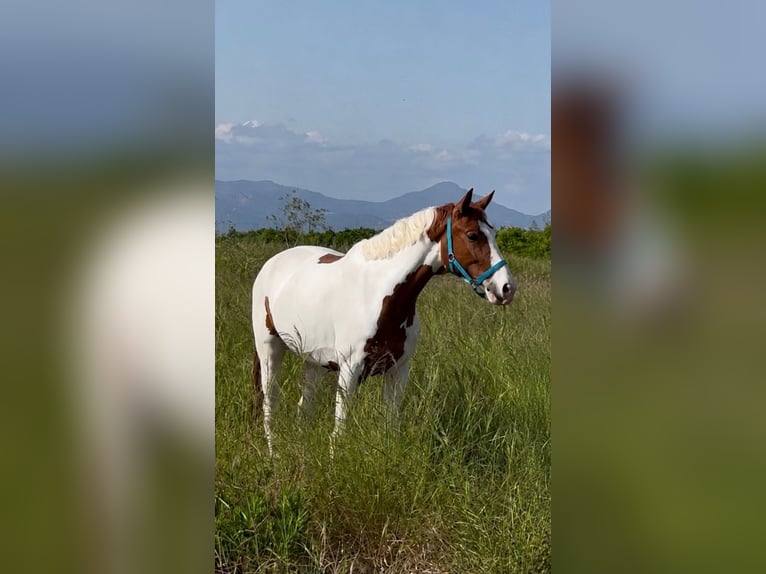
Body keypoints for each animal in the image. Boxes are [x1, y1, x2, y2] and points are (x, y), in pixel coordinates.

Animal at [251, 188, 517, 454]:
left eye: (493, 233)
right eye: (472, 235)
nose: (506, 288)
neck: (377, 294)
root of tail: (271, 263)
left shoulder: (399, 370)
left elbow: (391, 426)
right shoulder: (350, 369)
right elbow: (339, 432)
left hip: (314, 361)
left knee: (303, 408)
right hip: (269, 348)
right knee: (269, 404)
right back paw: (273, 454)